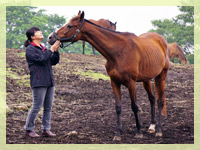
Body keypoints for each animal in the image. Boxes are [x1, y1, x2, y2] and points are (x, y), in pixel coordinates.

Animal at [48, 10, 169, 141]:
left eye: (70, 26)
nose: (50, 37)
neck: (118, 51)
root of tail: (162, 40)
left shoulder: (131, 83)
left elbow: (134, 106)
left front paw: (138, 132)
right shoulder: (114, 82)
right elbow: (118, 107)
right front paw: (117, 134)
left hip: (161, 76)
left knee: (160, 101)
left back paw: (158, 130)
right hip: (146, 79)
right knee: (152, 99)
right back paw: (151, 126)